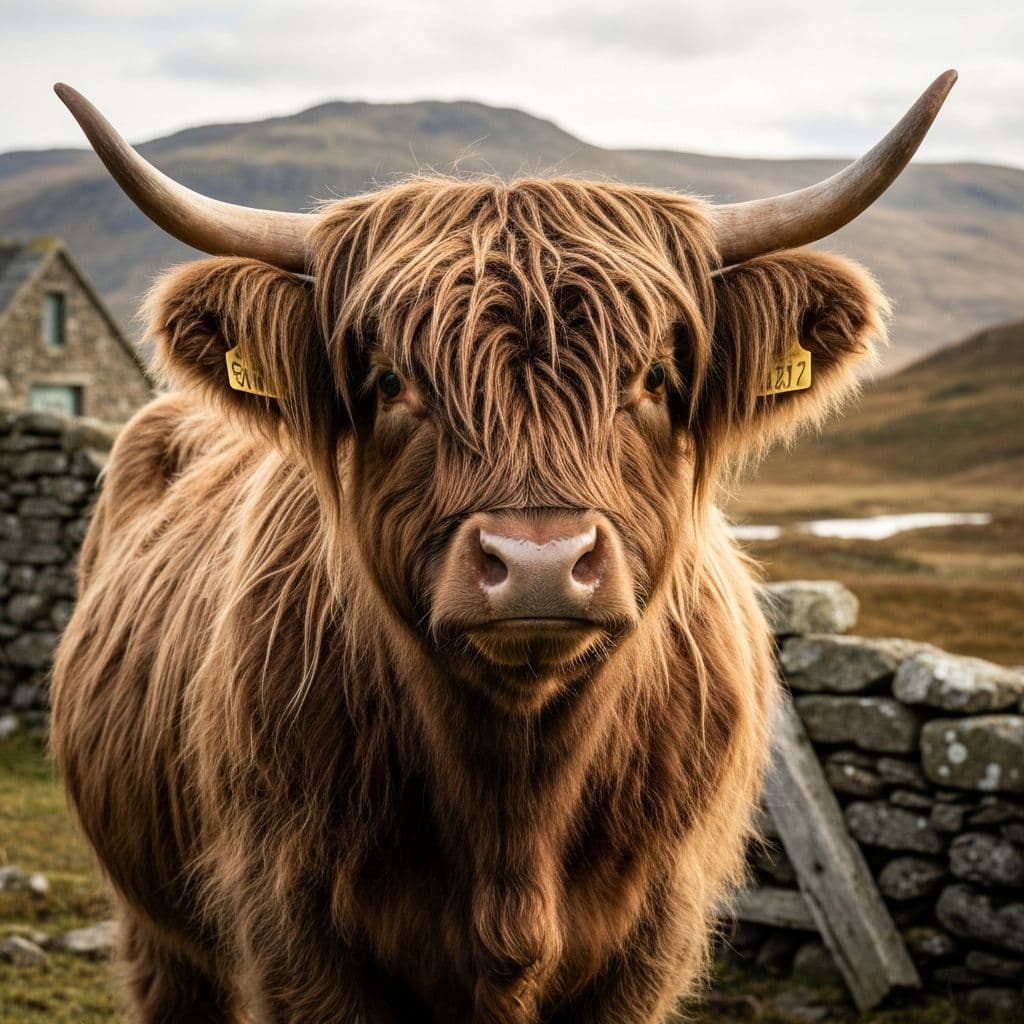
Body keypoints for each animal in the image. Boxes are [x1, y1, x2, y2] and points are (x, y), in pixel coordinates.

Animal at [49, 72, 955, 1024]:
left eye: (654, 377)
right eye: (389, 381)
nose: (539, 564)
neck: (515, 795)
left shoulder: (651, 939)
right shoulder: (294, 929)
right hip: (157, 926)